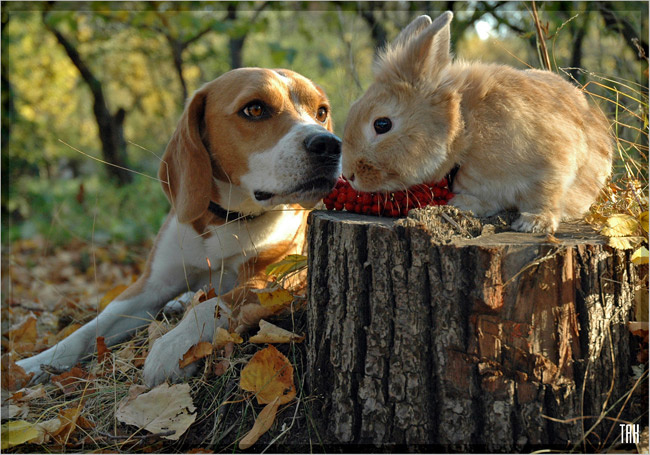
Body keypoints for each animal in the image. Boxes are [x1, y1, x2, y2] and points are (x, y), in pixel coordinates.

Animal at [341, 12, 613, 233]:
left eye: (382, 124)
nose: (349, 175)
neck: (465, 132)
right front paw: (462, 204)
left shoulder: (554, 163)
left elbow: (547, 196)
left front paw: (534, 224)